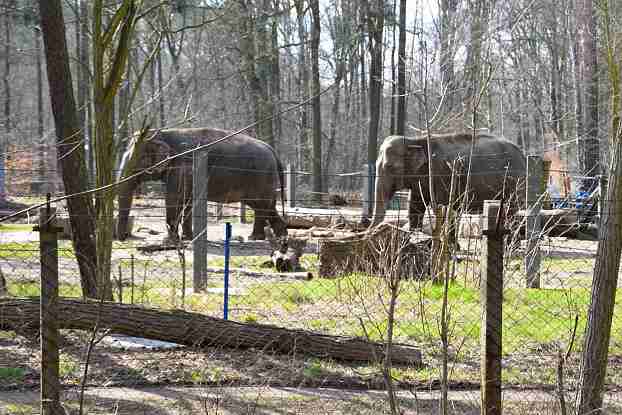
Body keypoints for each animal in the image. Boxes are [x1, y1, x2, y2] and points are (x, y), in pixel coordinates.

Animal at [116, 128, 288, 242]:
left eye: (136, 161)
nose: (122, 238)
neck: (163, 133)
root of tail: (272, 150)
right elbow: (187, 201)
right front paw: (187, 238)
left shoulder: (182, 168)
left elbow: (173, 198)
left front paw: (170, 241)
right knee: (266, 206)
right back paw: (275, 236)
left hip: (261, 177)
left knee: (262, 206)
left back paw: (259, 237)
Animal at [372, 132, 528, 232]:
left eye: (389, 167)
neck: (415, 141)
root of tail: (522, 154)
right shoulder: (421, 180)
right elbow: (415, 207)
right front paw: (413, 234)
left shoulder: (442, 174)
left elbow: (445, 208)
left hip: (515, 181)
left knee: (511, 210)